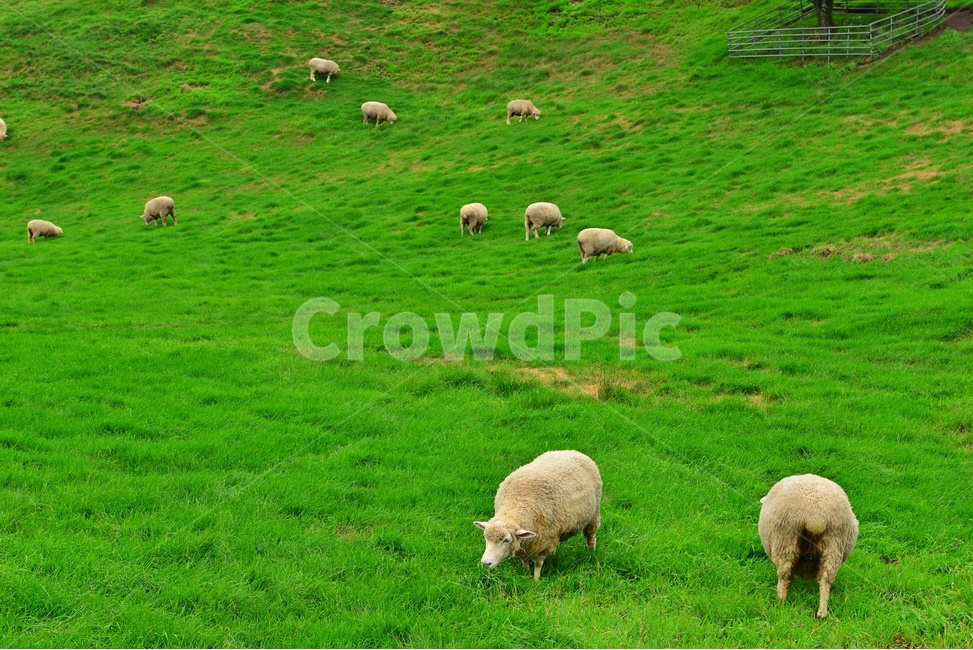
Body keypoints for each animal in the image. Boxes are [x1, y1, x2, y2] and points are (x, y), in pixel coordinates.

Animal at [474, 450, 602, 580]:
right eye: (485, 537)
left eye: (506, 540)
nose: (485, 563)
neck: (516, 505)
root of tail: (572, 451)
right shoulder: (526, 544)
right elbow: (524, 560)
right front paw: (525, 574)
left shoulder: (544, 542)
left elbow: (538, 564)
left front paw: (535, 580)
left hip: (594, 514)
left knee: (590, 536)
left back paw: (590, 553)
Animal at [758, 474, 859, 618]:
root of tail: (815, 517)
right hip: (834, 544)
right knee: (826, 578)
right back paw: (822, 613)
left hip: (785, 540)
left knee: (784, 575)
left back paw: (780, 602)